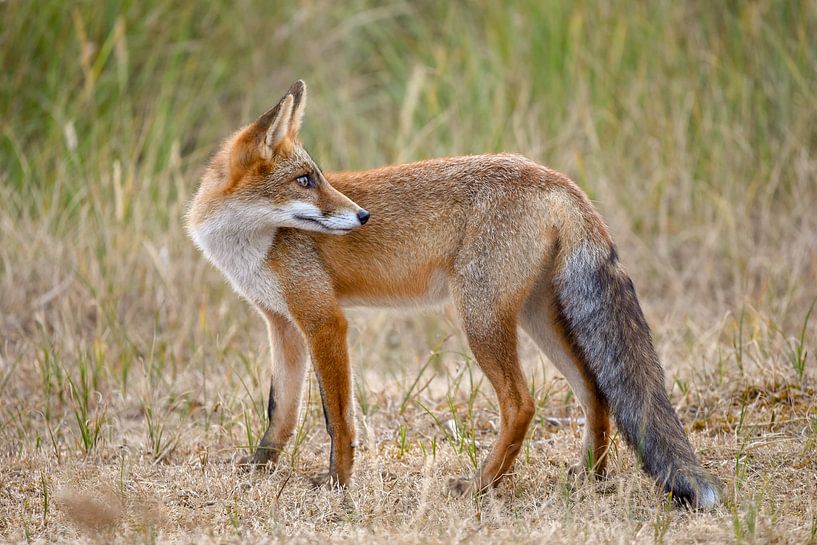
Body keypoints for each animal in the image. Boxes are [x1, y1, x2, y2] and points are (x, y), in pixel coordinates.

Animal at [187, 80, 721, 509]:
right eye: (304, 180)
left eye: (318, 178)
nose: (361, 216)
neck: (247, 247)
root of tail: (555, 178)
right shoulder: (283, 324)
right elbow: (280, 412)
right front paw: (258, 470)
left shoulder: (324, 320)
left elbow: (336, 418)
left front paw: (338, 483)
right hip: (535, 317)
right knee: (594, 389)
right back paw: (589, 475)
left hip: (480, 318)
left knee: (522, 404)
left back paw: (483, 485)